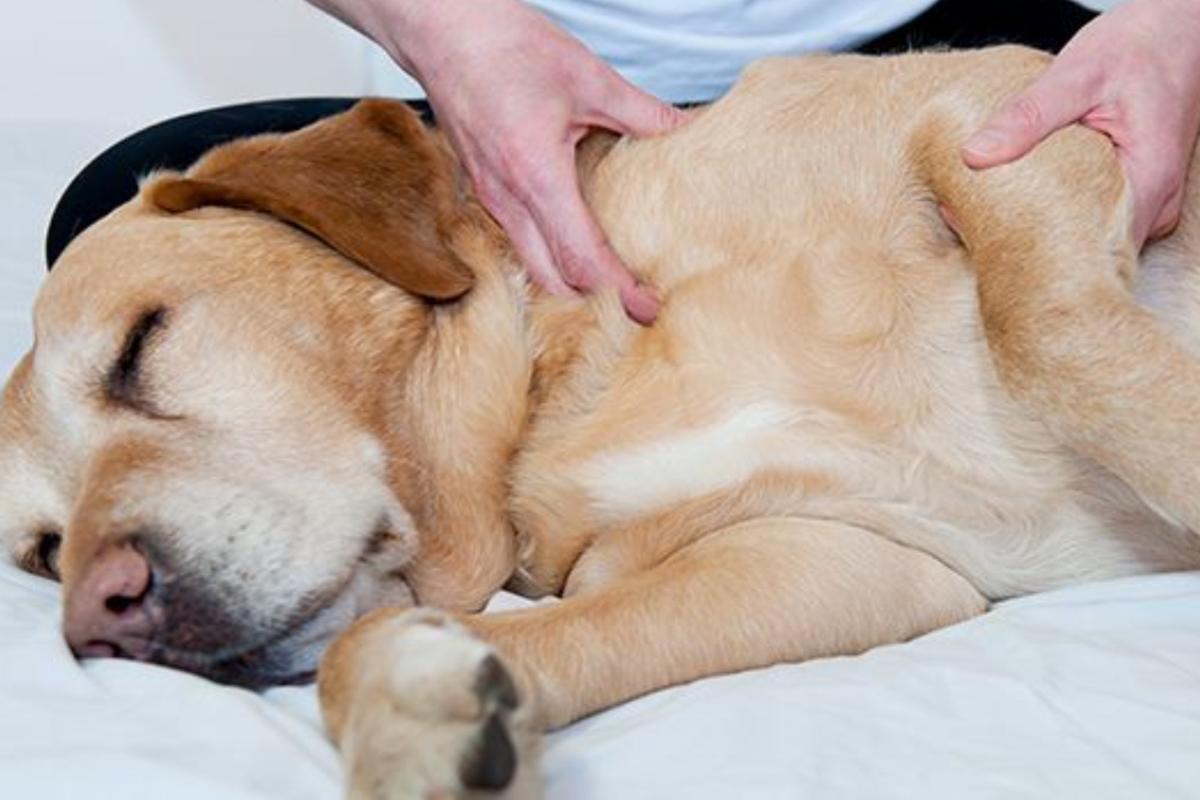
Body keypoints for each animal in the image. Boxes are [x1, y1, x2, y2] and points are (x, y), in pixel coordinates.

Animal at [2, 45, 1200, 800]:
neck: (564, 381)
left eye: (140, 343)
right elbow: (464, 638)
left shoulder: (994, 104)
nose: (100, 617)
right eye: (41, 551)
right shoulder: (848, 559)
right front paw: (412, 710)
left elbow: (1053, 332)